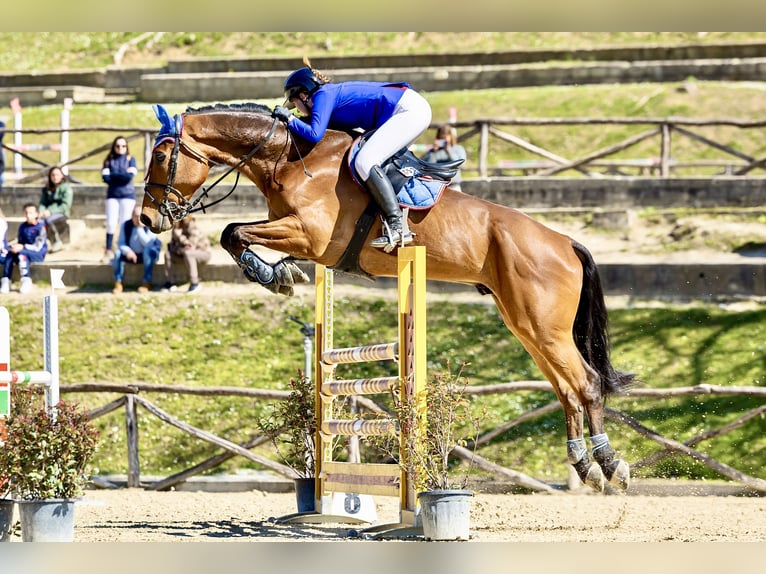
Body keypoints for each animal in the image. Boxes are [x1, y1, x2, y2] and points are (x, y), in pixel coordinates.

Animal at [142, 102, 636, 490]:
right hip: (526, 326)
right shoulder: (305, 240)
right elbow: (236, 233)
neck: (289, 159)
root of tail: (564, 242)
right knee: (567, 389)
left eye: (162, 154)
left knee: (587, 384)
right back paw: (586, 465)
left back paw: (609, 466)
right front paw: (277, 273)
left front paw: (272, 273)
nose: (147, 219)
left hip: (543, 327)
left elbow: (231, 231)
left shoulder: (309, 234)